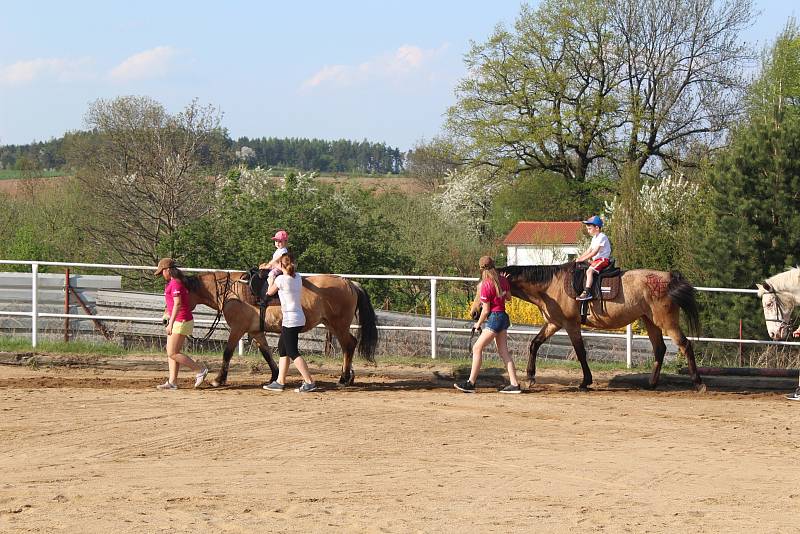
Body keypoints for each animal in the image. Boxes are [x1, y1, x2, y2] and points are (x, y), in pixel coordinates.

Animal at [186, 272, 380, 390]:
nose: (172, 317)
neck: (230, 292)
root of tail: (350, 282)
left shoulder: (237, 329)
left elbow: (227, 353)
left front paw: (218, 379)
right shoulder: (256, 331)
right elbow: (267, 354)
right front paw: (275, 376)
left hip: (338, 324)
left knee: (348, 345)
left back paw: (344, 379)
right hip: (331, 324)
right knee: (350, 344)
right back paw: (348, 377)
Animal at [468, 264, 700, 394]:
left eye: (482, 288)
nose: (474, 313)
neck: (551, 286)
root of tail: (668, 277)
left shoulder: (571, 325)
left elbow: (580, 352)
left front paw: (585, 381)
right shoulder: (554, 323)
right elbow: (534, 344)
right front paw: (531, 376)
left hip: (666, 322)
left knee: (685, 345)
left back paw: (698, 383)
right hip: (650, 321)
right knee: (660, 349)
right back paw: (652, 384)